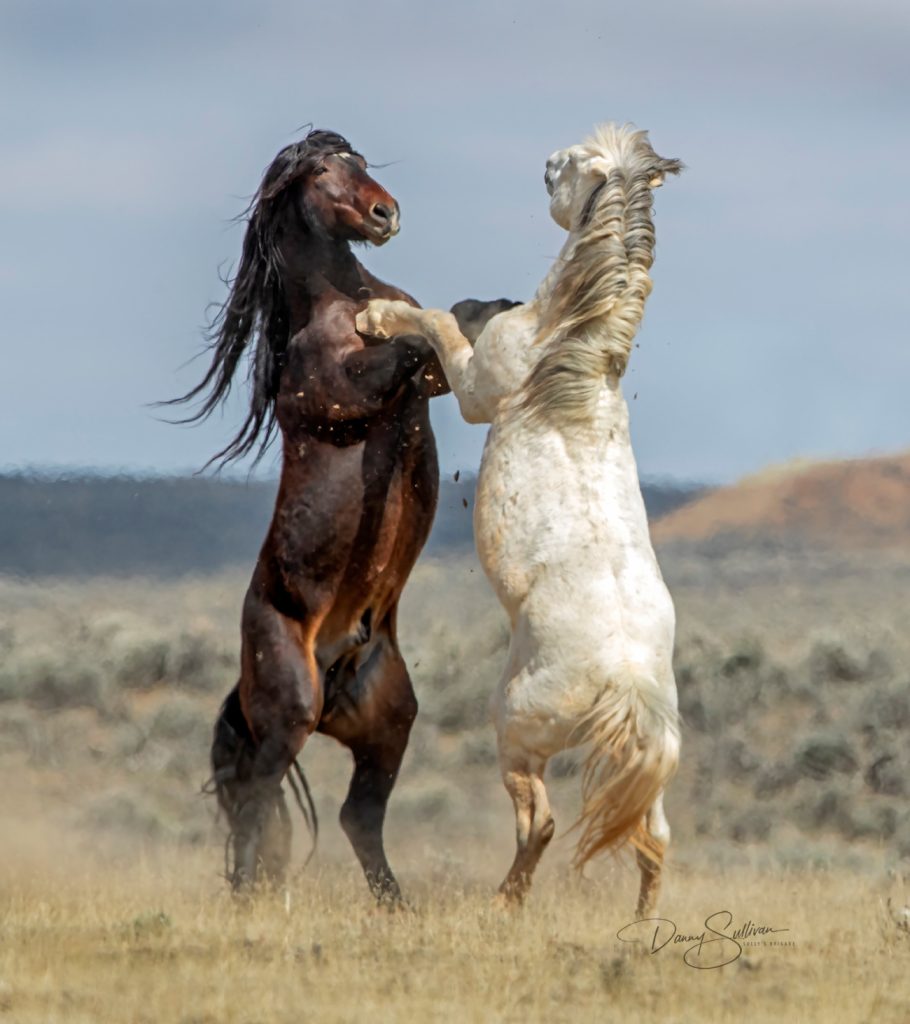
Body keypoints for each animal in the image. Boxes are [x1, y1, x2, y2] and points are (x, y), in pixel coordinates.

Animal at [170, 130, 450, 905]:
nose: (386, 213)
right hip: (290, 709)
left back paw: (398, 907)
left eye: (361, 163)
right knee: (257, 799)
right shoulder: (344, 389)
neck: (341, 296)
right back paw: (247, 900)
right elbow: (409, 347)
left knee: (358, 816)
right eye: (324, 172)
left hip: (389, 720)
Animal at [354, 119, 679, 913]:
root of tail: (626, 684)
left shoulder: (477, 387)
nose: (546, 162)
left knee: (543, 822)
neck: (568, 353)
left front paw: (377, 317)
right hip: (643, 768)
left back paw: (504, 902)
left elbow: (439, 323)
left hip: (517, 731)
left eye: (579, 164)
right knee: (651, 843)